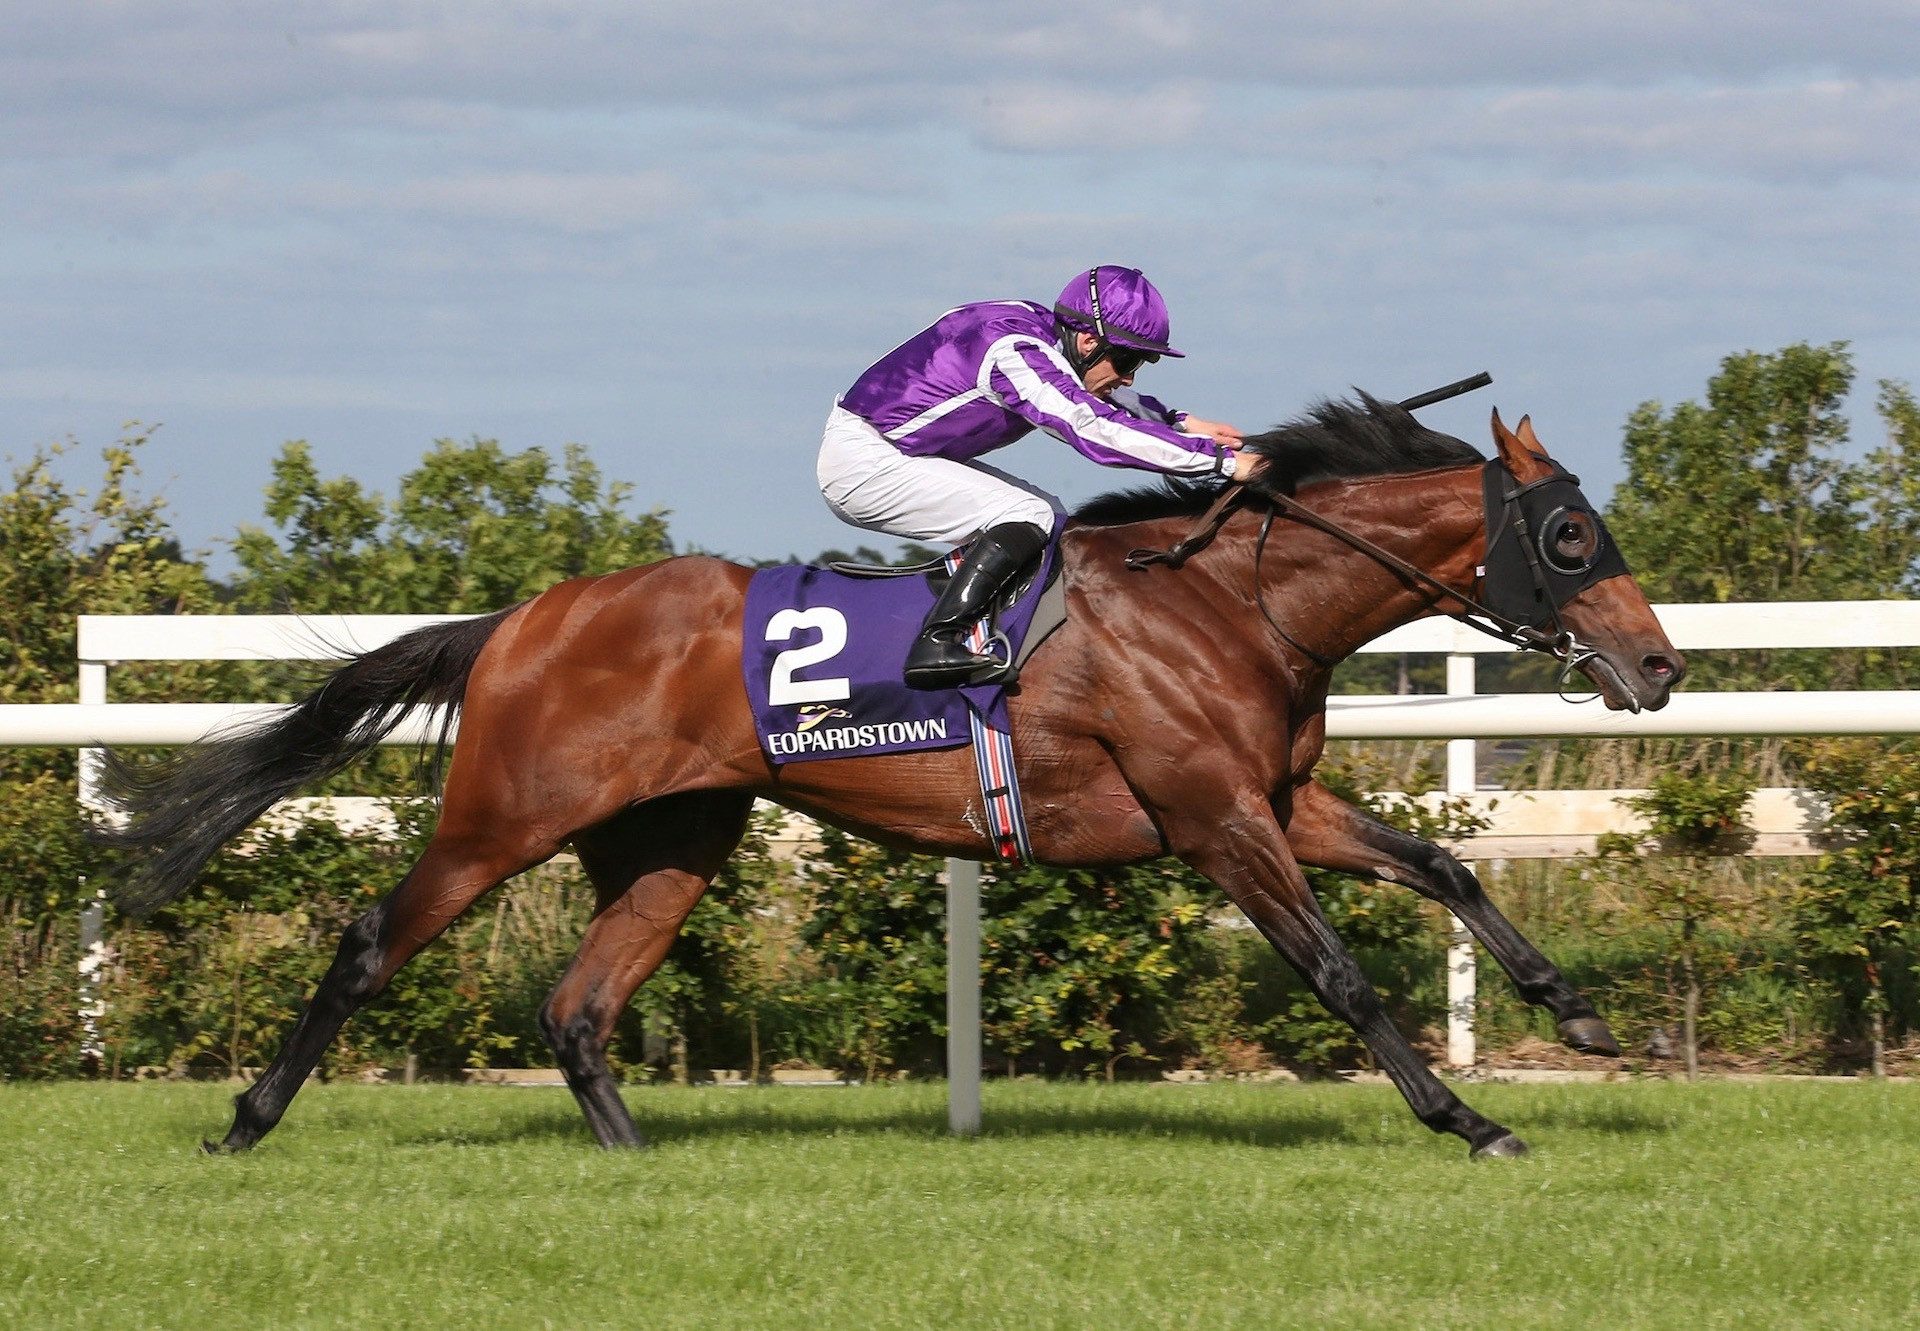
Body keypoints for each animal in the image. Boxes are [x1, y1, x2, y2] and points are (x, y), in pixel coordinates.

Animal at [101, 393, 1681, 1152]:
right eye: (1572, 537)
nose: (1659, 666)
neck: (1229, 599)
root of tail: (523, 619)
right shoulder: (1215, 817)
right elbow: (1341, 970)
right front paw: (1471, 1119)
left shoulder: (1275, 797)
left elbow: (1444, 860)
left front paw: (1581, 1014)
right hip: (506, 812)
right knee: (373, 941)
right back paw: (243, 1124)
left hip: (673, 837)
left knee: (580, 1003)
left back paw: (635, 1159)